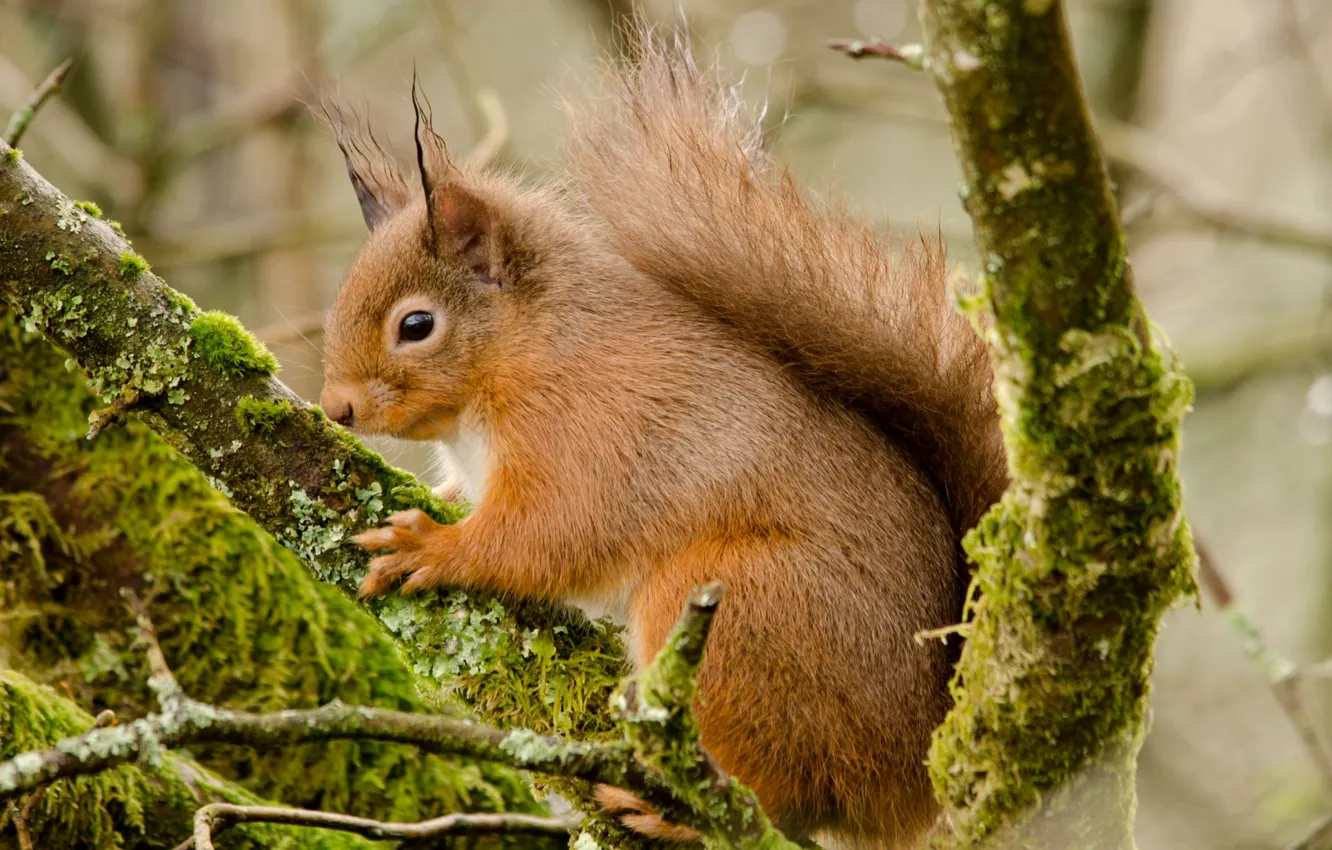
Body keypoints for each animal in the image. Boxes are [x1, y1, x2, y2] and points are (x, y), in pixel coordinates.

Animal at [317, 24, 1006, 850]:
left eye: (416, 325)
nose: (336, 408)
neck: (526, 347)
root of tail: (911, 779)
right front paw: (444, 499)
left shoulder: (587, 431)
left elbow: (550, 535)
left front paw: (434, 546)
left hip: (738, 615)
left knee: (775, 792)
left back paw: (666, 811)